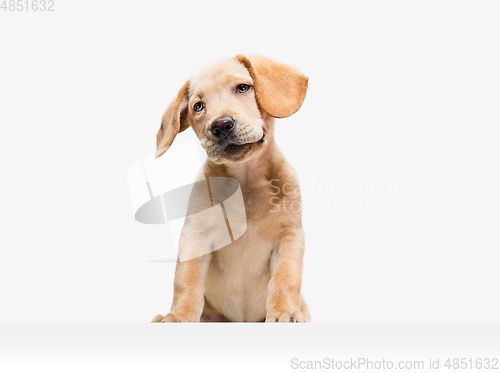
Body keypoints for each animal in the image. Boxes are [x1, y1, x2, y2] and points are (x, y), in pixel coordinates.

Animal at [150, 53, 310, 322]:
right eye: (198, 106)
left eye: (243, 88)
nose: (221, 125)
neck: (245, 182)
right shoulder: (195, 235)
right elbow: (186, 280)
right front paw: (179, 315)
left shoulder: (289, 236)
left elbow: (285, 278)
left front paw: (285, 311)